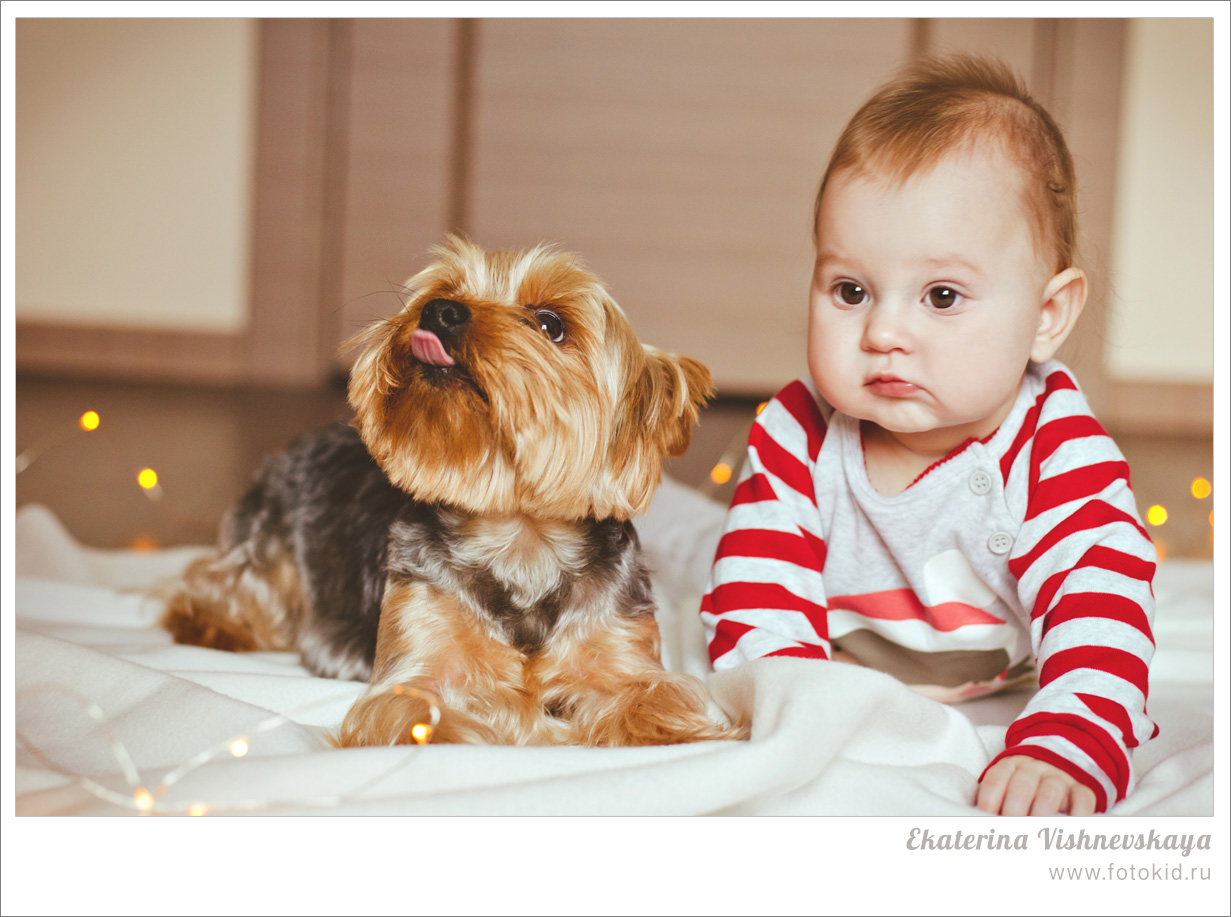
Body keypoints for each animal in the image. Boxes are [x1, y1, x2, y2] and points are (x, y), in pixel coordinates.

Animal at [160, 233, 743, 743]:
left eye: (551, 323)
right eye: (446, 290)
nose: (440, 310)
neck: (520, 540)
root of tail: (304, 438)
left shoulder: (623, 650)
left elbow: (658, 699)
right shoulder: (414, 666)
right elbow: (449, 713)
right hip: (268, 547)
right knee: (222, 584)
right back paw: (210, 625)